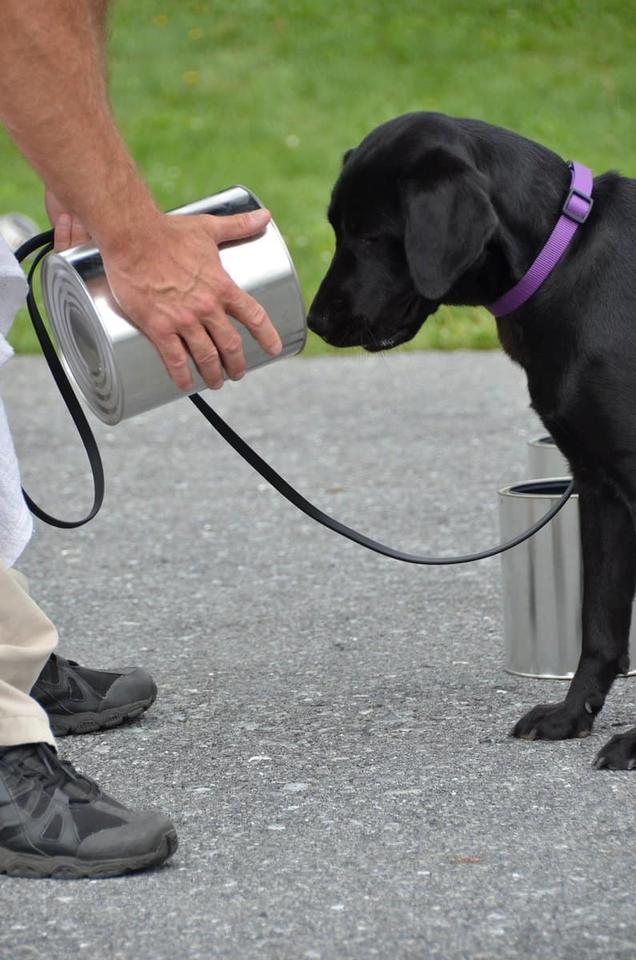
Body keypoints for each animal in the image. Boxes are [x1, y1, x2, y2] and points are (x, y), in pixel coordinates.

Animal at [306, 114, 636, 772]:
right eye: (336, 228)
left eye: (371, 235)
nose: (314, 322)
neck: (563, 259)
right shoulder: (600, 488)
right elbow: (598, 626)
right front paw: (571, 715)